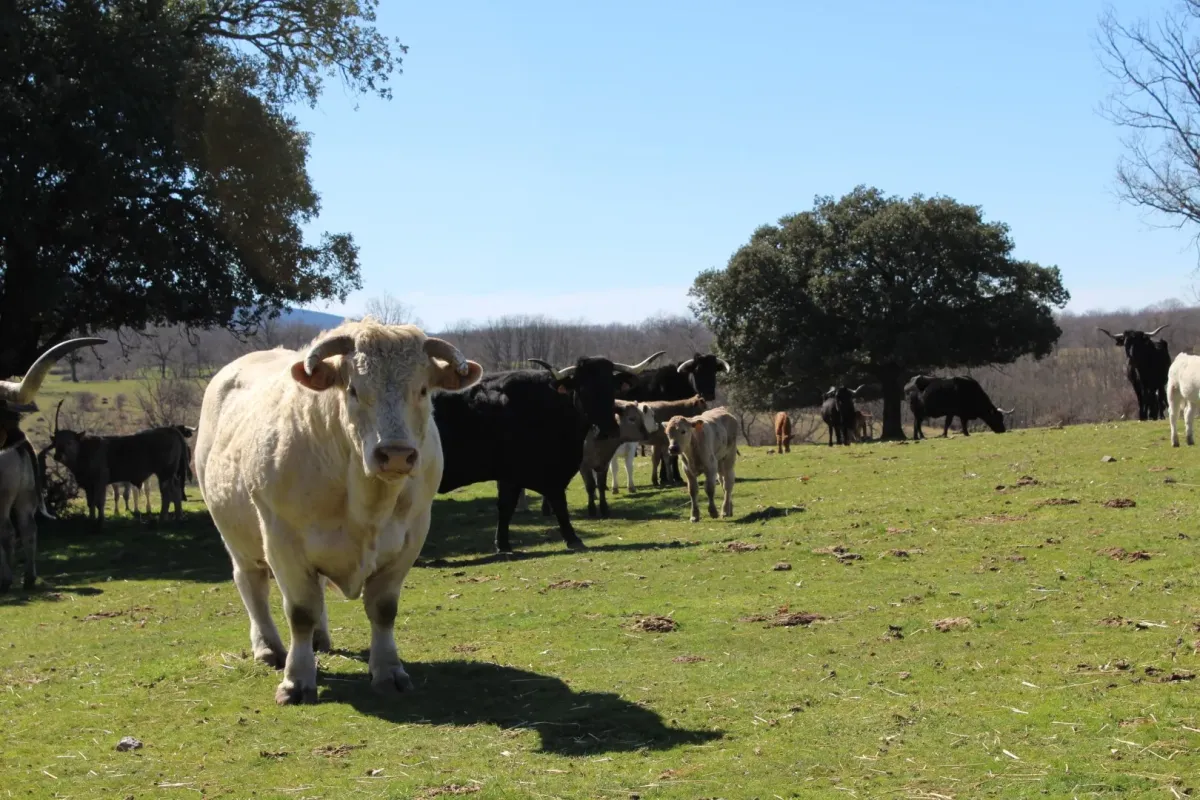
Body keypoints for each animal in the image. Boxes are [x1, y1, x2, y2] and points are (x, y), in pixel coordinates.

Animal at [195, 319, 483, 705]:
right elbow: (299, 611)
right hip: (237, 536)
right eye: (353, 390)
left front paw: (389, 671)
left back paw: (319, 637)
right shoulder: (282, 539)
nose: (395, 454)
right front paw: (296, 681)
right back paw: (268, 647)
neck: (367, 501)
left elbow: (383, 608)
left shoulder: (411, 537)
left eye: (422, 390)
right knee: (252, 584)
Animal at [435, 352, 664, 553]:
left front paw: (503, 544)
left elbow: (506, 507)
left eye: (612, 388)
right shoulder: (545, 473)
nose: (608, 430)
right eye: (583, 389)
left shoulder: (511, 475)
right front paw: (573, 538)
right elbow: (558, 503)